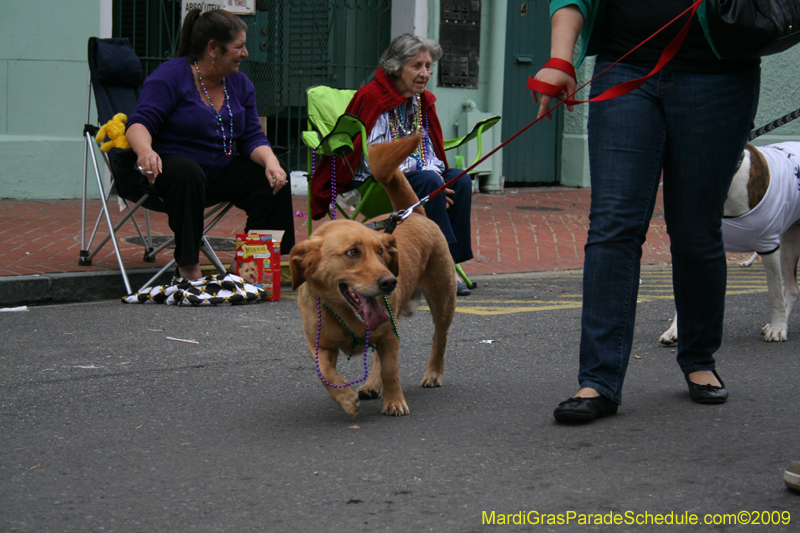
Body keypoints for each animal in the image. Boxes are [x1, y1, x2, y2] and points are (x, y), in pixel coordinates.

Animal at [292, 134, 456, 416]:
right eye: (352, 252)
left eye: (380, 251)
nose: (390, 282)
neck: (346, 314)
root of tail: (414, 213)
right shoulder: (320, 345)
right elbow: (326, 374)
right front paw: (345, 398)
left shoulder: (390, 335)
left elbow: (391, 371)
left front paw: (394, 402)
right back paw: (371, 385)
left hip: (442, 300)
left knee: (439, 337)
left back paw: (433, 373)